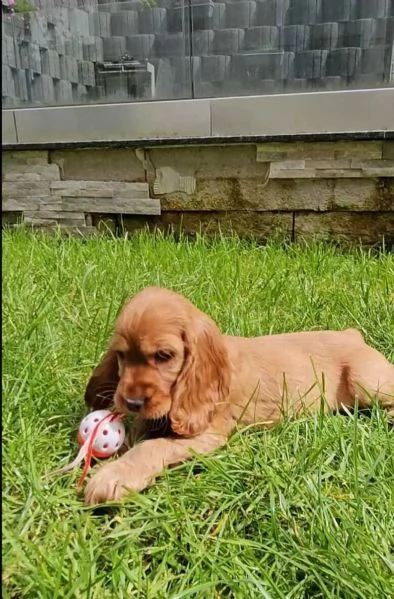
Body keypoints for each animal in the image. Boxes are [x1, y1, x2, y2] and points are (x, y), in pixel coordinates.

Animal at [83, 288, 394, 504]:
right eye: (121, 355)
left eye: (163, 355)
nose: (132, 403)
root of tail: (352, 334)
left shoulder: (208, 434)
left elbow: (152, 447)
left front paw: (113, 476)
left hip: (366, 380)